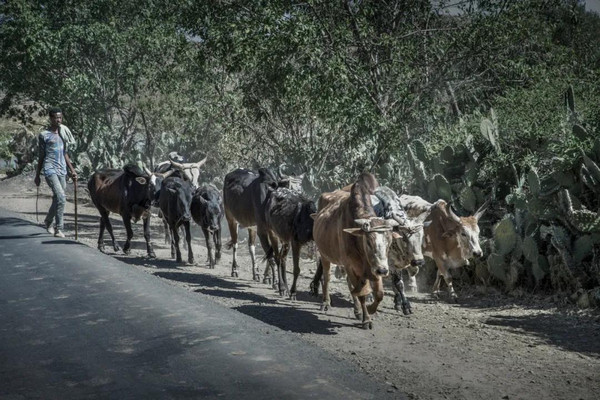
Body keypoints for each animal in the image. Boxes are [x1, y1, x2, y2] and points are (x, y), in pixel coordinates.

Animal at [310, 172, 398, 328]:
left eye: (389, 242)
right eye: (368, 241)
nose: (383, 271)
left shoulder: (373, 267)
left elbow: (379, 294)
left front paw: (370, 310)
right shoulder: (350, 265)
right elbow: (362, 294)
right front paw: (367, 319)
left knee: (351, 285)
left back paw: (357, 310)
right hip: (325, 256)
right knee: (327, 277)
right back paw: (326, 302)